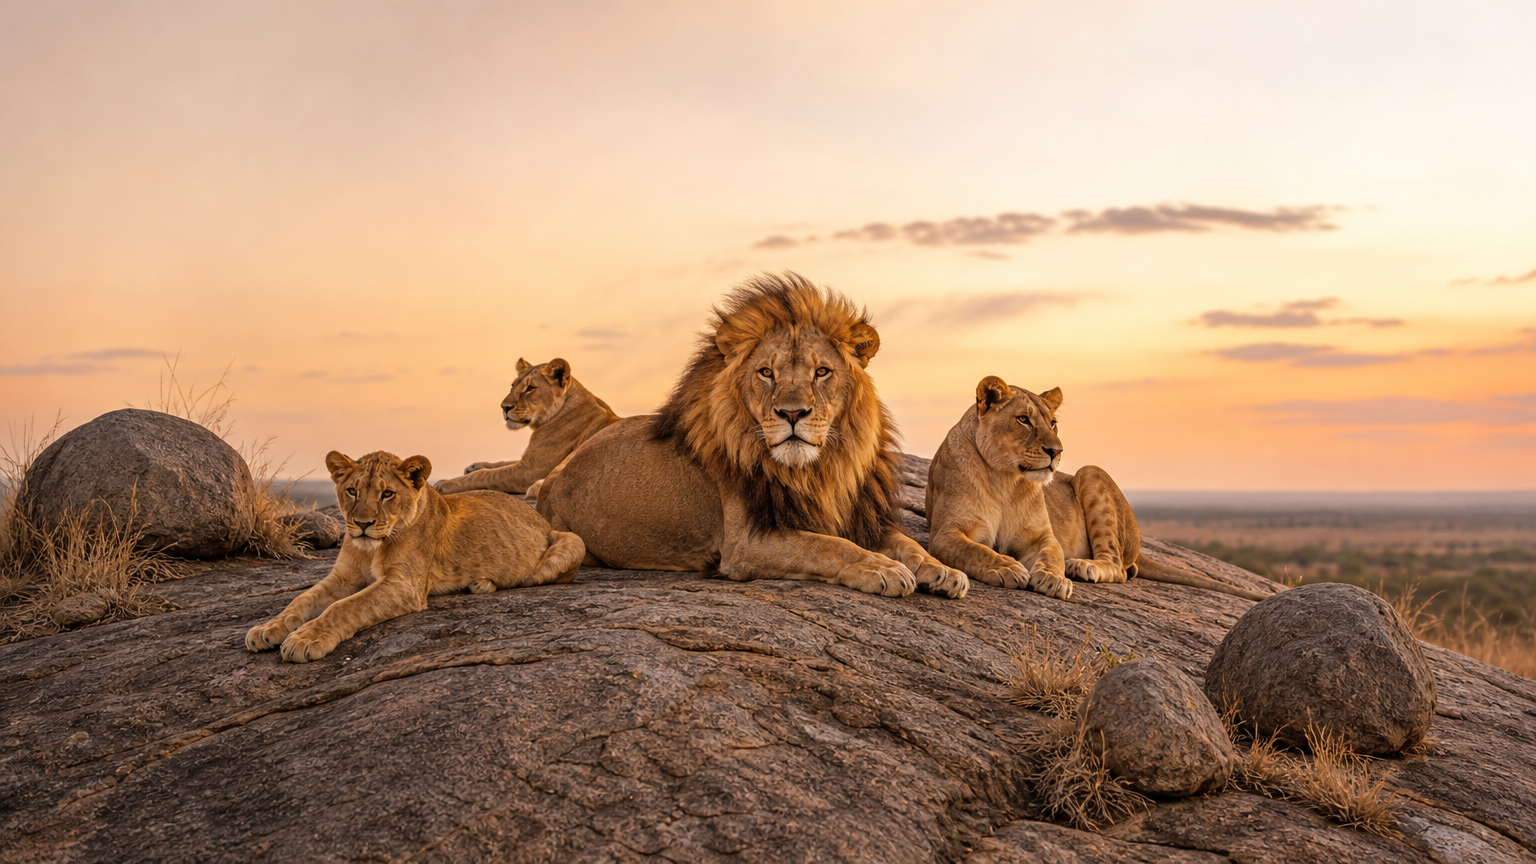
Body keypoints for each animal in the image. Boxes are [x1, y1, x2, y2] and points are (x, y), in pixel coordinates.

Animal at [246, 450, 585, 662]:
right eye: (352, 491)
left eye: (387, 494)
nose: (362, 524)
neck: (373, 548)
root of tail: (540, 519)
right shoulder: (342, 578)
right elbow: (300, 600)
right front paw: (266, 629)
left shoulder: (404, 585)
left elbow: (345, 607)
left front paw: (304, 640)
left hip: (573, 540)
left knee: (528, 577)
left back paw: (482, 583)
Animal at [435, 357, 621, 496]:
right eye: (513, 386)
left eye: (530, 388)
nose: (504, 407)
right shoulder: (526, 461)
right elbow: (504, 462)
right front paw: (474, 466)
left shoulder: (530, 469)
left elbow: (486, 475)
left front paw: (445, 483)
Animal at [536, 272, 968, 599]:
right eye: (766, 373)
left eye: (821, 372)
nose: (792, 413)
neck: (819, 471)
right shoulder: (747, 542)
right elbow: (827, 546)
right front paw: (882, 568)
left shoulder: (859, 516)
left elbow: (907, 543)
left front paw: (942, 570)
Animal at [925, 376, 1270, 601]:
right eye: (1023, 420)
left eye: (1053, 423)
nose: (1056, 451)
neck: (1006, 481)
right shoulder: (945, 533)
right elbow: (977, 549)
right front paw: (1006, 566)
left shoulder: (1043, 537)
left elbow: (1052, 555)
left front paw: (1054, 579)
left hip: (1090, 473)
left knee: (1117, 567)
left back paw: (1081, 567)